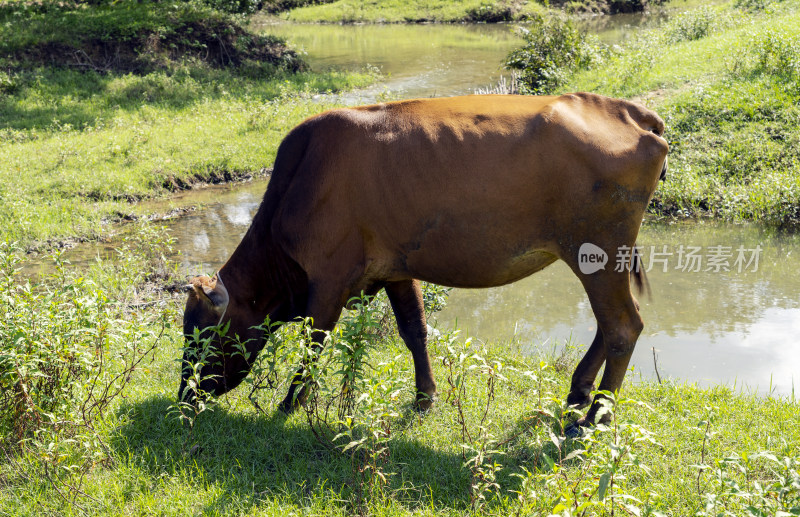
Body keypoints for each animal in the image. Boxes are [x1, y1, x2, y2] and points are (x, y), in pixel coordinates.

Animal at [180, 92, 668, 428]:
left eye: (200, 336)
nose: (185, 396)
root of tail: (626, 109)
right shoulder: (395, 269)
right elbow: (414, 331)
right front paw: (424, 397)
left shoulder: (330, 278)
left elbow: (313, 342)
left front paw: (289, 402)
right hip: (597, 257)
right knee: (610, 325)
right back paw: (579, 392)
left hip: (597, 251)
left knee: (623, 325)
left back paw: (596, 416)